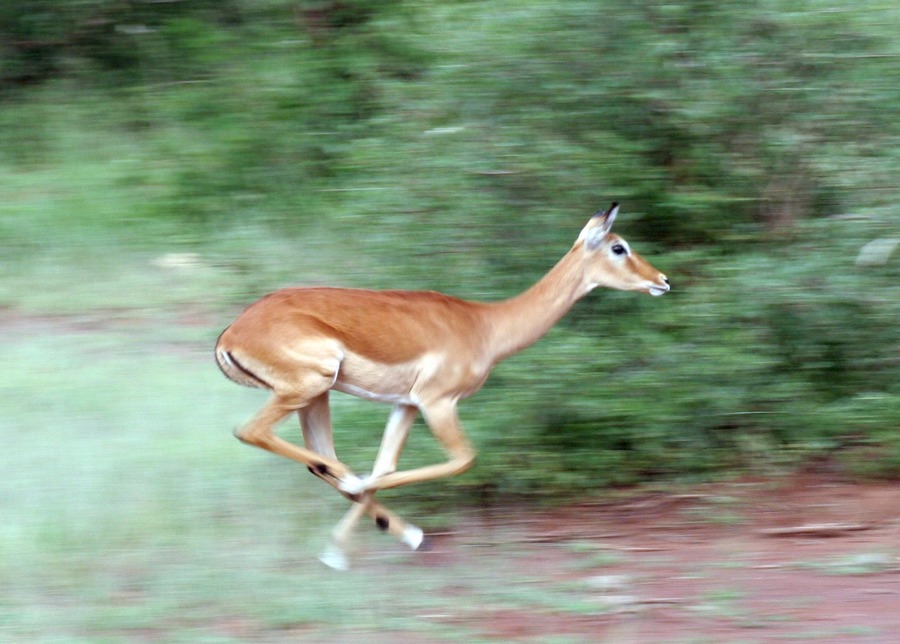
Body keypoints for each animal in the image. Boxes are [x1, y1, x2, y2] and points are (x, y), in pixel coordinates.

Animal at [216, 203, 670, 569]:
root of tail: (232, 334)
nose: (662, 280)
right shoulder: (438, 402)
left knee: (319, 459)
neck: (485, 326)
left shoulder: (406, 404)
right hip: (308, 387)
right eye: (618, 247)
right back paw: (353, 489)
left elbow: (385, 465)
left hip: (317, 398)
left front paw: (372, 544)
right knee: (253, 432)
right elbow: (462, 459)